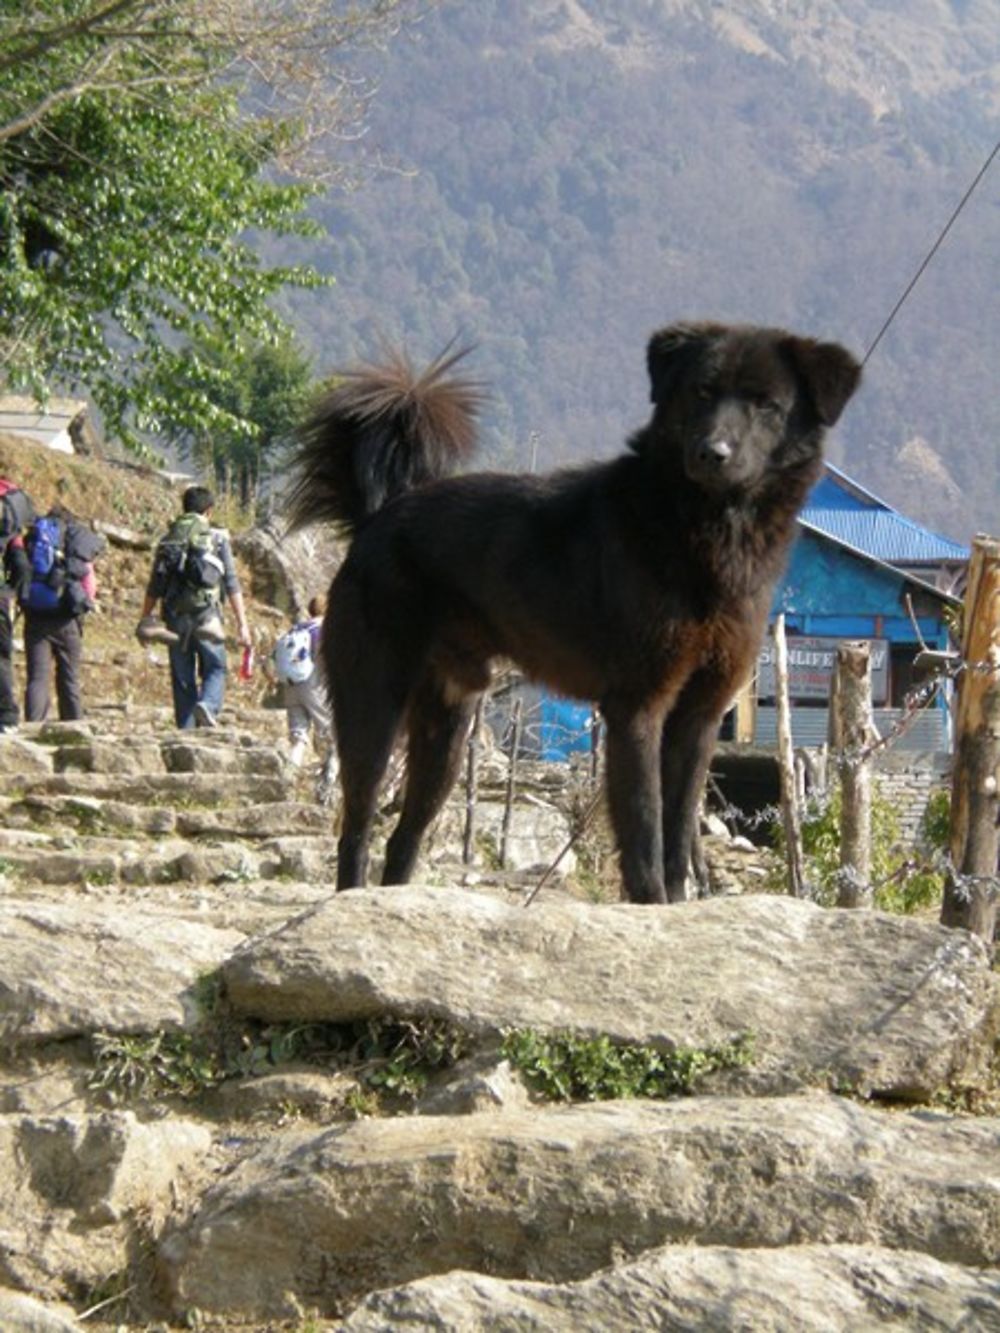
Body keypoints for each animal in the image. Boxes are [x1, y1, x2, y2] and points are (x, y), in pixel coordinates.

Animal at [289, 325, 864, 906]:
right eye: (701, 392)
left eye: (766, 404)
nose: (711, 453)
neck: (706, 527)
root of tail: (377, 519)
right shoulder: (638, 706)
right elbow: (646, 832)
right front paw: (651, 905)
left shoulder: (699, 715)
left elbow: (679, 832)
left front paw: (677, 907)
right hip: (374, 708)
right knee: (357, 829)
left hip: (447, 731)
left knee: (403, 839)